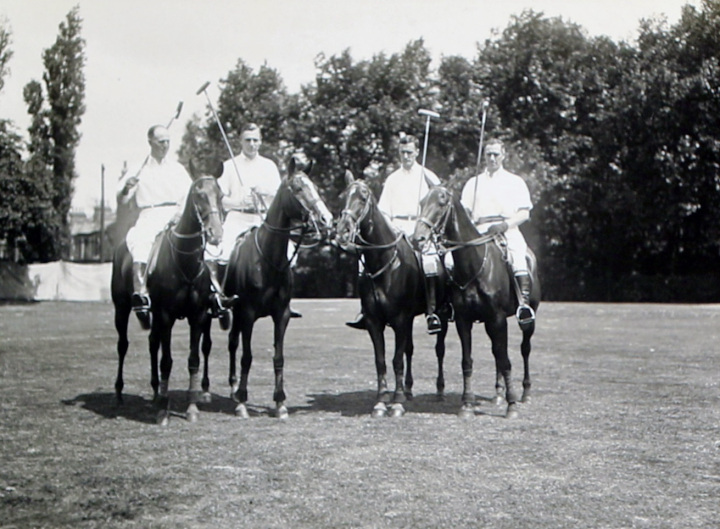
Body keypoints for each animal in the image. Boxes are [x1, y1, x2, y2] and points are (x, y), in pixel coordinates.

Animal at [111, 163, 224, 422]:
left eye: (220, 195)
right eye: (199, 195)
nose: (216, 233)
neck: (185, 262)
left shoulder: (198, 316)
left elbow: (192, 360)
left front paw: (191, 407)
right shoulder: (165, 315)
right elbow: (166, 361)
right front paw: (164, 410)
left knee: (153, 343)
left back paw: (155, 393)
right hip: (121, 308)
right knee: (123, 345)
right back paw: (120, 394)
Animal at [224, 155, 334, 418]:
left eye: (315, 186)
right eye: (298, 188)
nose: (326, 219)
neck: (267, 260)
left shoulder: (281, 314)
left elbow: (278, 357)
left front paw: (280, 403)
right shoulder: (247, 313)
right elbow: (247, 356)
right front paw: (243, 402)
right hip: (235, 310)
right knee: (233, 344)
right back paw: (232, 390)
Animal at [334, 172, 448, 416]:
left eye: (363, 197)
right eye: (343, 196)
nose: (343, 231)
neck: (384, 263)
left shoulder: (400, 319)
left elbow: (396, 360)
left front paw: (396, 402)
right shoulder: (374, 322)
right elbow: (381, 360)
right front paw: (381, 400)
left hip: (441, 315)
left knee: (439, 349)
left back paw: (439, 390)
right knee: (410, 350)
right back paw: (409, 389)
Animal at [410, 184, 540, 418]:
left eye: (441, 202)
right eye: (422, 202)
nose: (418, 238)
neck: (475, 265)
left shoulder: (498, 318)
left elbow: (506, 360)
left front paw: (512, 405)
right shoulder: (465, 320)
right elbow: (467, 361)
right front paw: (467, 404)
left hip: (527, 319)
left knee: (524, 349)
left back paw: (524, 393)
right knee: (496, 352)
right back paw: (498, 393)